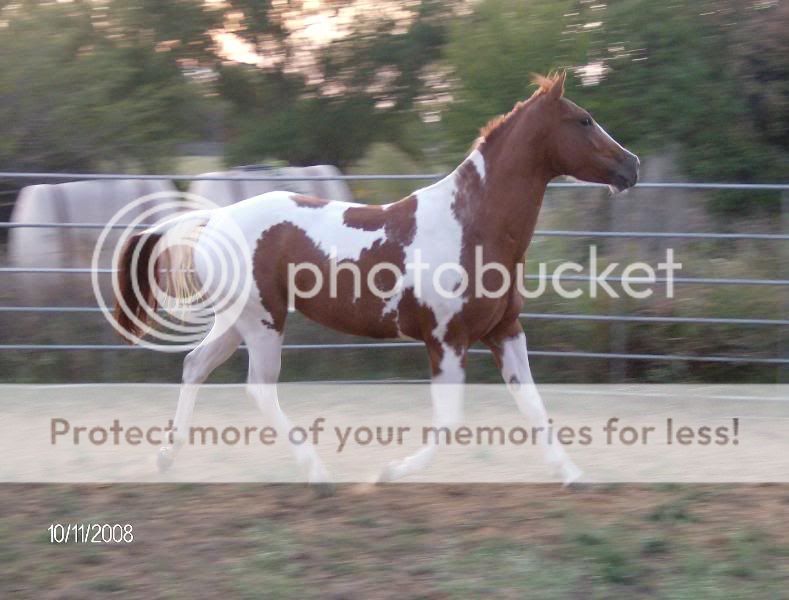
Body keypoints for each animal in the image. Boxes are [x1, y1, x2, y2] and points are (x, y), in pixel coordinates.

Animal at [114, 72, 636, 486]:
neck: (471, 225)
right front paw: (388, 472)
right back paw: (317, 473)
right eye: (584, 120)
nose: (630, 165)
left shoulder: (503, 331)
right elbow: (449, 420)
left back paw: (166, 459)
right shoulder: (446, 340)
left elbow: (533, 405)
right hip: (263, 323)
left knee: (195, 365)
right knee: (258, 389)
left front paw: (573, 476)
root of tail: (212, 221)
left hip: (237, 321)